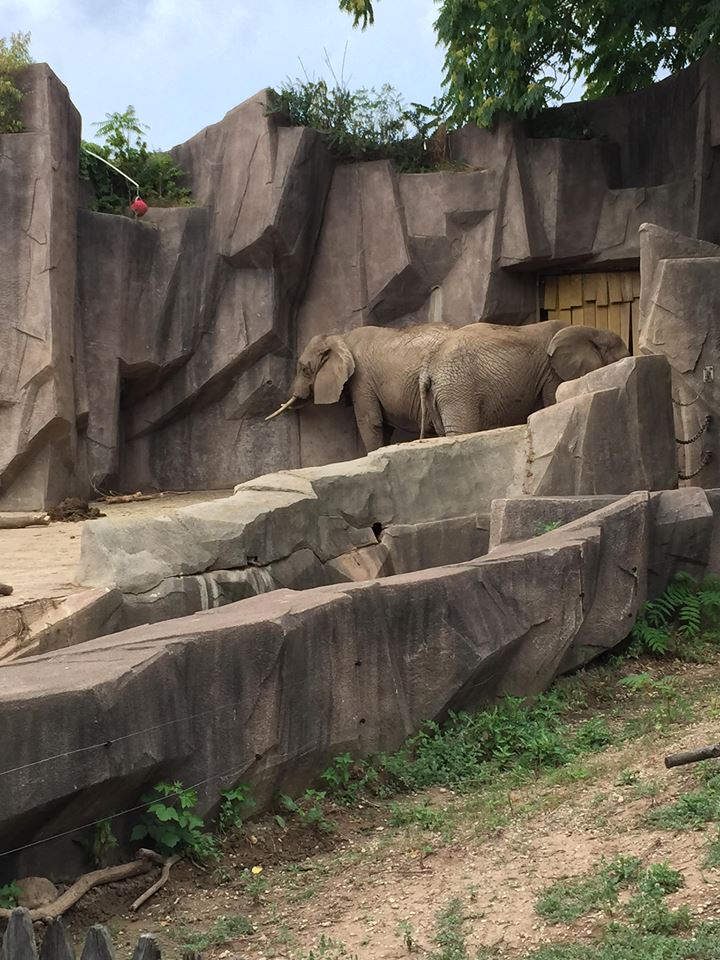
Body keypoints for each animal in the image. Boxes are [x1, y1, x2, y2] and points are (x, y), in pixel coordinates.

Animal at [420, 320, 631, 437]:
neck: (591, 329)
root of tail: (428, 367)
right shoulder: (551, 372)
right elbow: (553, 400)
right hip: (458, 387)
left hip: (438, 394)